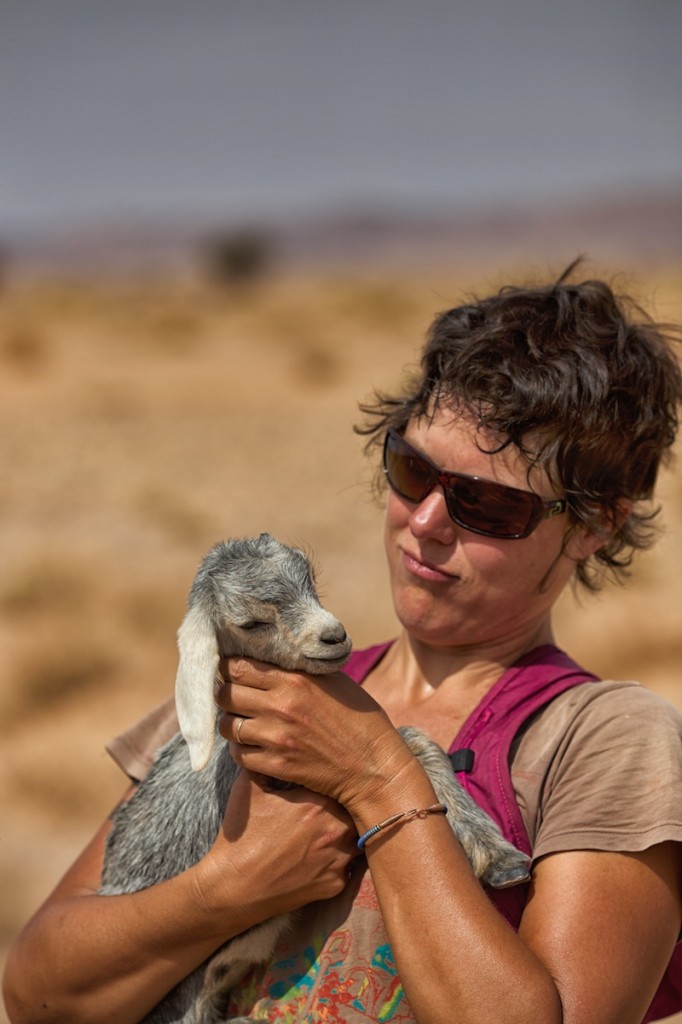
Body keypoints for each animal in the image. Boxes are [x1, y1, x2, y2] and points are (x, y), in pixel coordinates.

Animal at [100, 536, 528, 1024]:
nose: (334, 636)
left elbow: (413, 739)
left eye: (310, 580)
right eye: (252, 622)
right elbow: (402, 739)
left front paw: (500, 858)